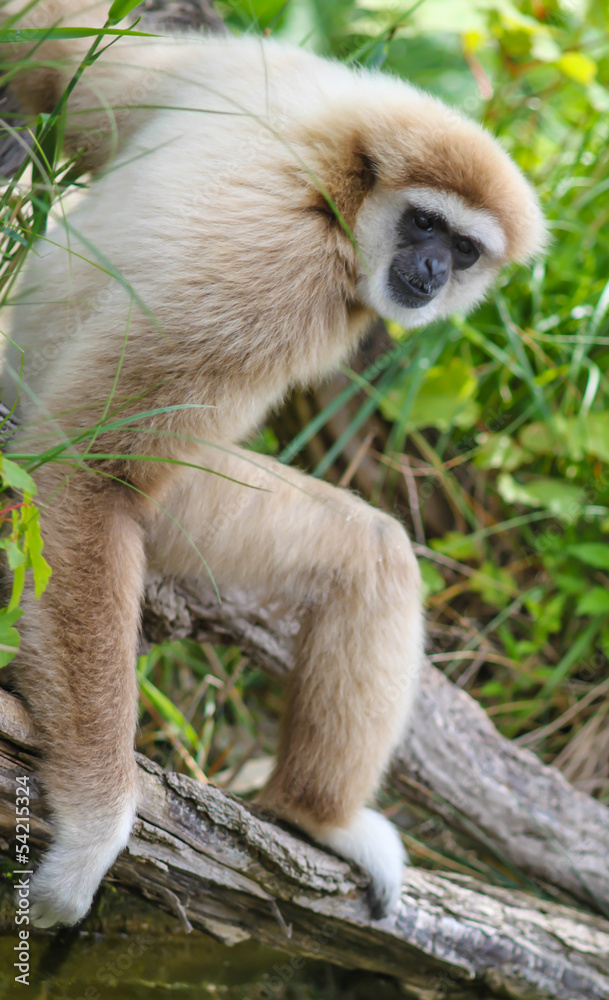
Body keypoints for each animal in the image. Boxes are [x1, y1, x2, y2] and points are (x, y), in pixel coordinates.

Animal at [0, 0, 546, 928]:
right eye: (424, 224)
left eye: (466, 249)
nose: (433, 269)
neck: (335, 163)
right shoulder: (281, 276)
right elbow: (85, 474)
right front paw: (96, 823)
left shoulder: (217, 72)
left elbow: (45, 48)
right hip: (189, 510)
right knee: (372, 553)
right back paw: (315, 818)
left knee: (370, 552)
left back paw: (311, 816)